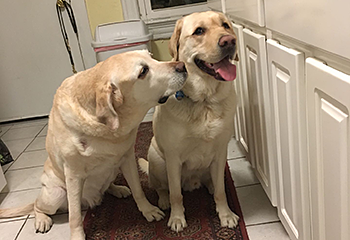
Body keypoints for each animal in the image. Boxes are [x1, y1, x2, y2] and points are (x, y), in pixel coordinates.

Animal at [0, 49, 187, 239]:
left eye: (151, 56)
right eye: (143, 71)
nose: (183, 65)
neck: (105, 129)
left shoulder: (127, 158)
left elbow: (137, 190)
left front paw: (148, 210)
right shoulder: (73, 175)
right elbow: (74, 215)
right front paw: (77, 235)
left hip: (113, 170)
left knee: (107, 186)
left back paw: (118, 189)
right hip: (55, 194)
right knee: (37, 206)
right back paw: (42, 220)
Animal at [139, 11, 241, 232]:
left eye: (225, 25)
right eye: (199, 31)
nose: (229, 41)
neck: (204, 101)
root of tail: (192, 183)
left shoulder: (220, 151)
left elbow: (221, 191)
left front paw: (225, 215)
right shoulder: (173, 157)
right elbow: (176, 194)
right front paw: (177, 219)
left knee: (214, 182)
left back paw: (209, 185)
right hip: (157, 159)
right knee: (161, 187)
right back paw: (164, 201)